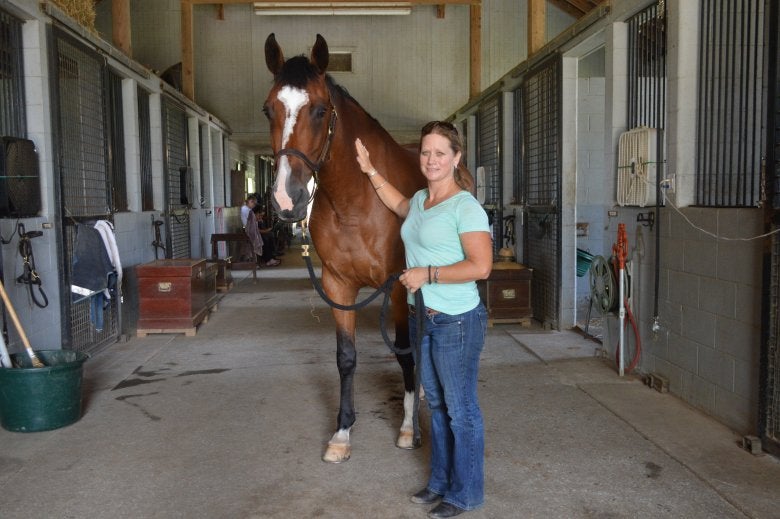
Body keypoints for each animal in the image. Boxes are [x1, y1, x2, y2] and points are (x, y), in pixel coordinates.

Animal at [266, 33, 430, 464]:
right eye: (268, 109)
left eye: (320, 110)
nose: (286, 199)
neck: (357, 200)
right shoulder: (338, 286)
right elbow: (346, 358)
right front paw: (341, 433)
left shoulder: (396, 286)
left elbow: (403, 351)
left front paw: (408, 429)